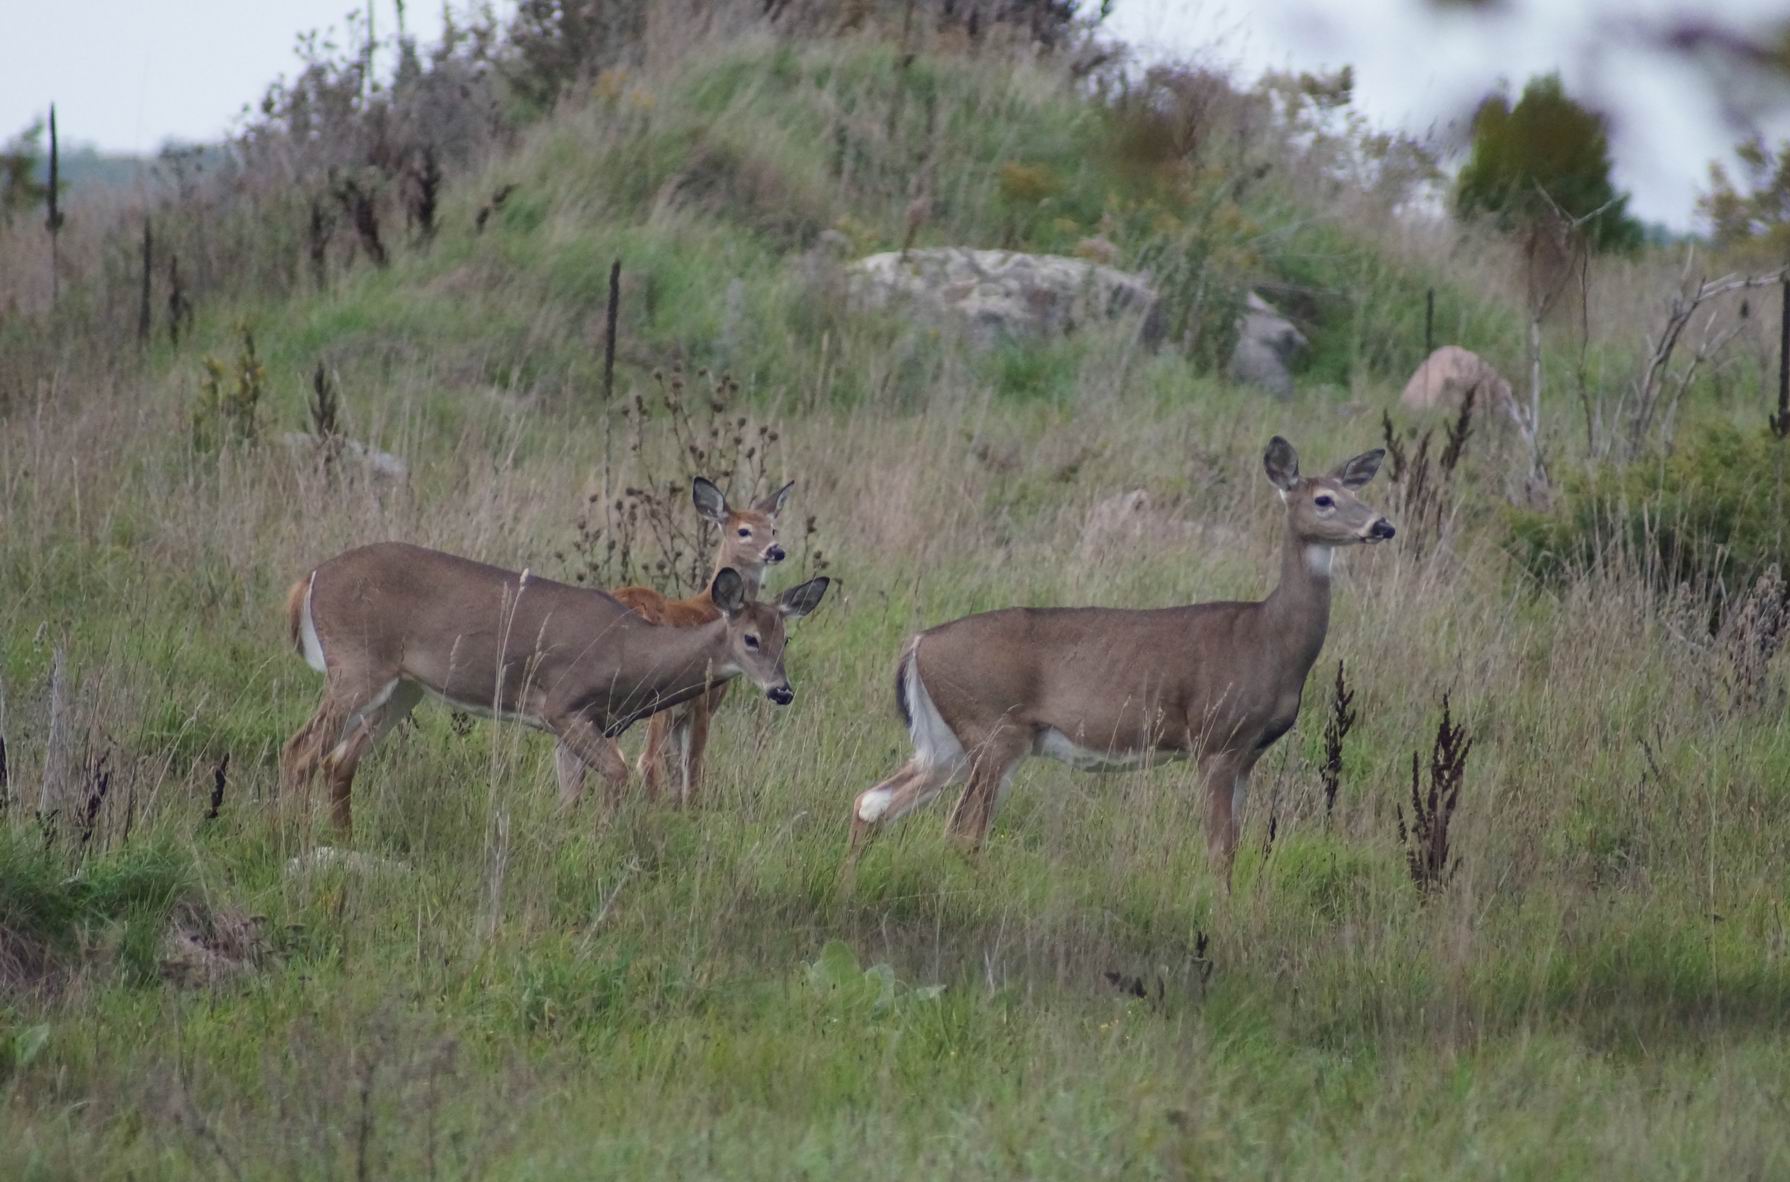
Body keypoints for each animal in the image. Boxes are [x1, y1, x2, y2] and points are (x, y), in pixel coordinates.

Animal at [281, 540, 830, 834]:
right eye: (750, 638)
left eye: (785, 638)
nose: (782, 691)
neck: (631, 654)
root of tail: (309, 578)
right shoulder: (562, 704)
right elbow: (618, 775)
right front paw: (601, 844)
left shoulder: (580, 725)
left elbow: (569, 798)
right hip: (356, 666)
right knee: (299, 749)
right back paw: (286, 836)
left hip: (401, 688)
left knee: (338, 760)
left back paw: (343, 839)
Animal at [605, 476, 794, 802]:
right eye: (743, 531)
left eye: (772, 528)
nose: (776, 551)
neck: (711, 607)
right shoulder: (703, 703)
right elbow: (692, 765)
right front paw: (689, 808)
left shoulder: (682, 714)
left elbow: (677, 769)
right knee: (646, 760)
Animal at [852, 438, 1396, 881]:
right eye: (1324, 500)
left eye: (1357, 493)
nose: (1383, 524)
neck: (1269, 638)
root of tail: (919, 643)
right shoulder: (1216, 739)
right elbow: (1220, 851)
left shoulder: (1247, 755)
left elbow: (1234, 847)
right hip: (992, 730)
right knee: (962, 831)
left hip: (946, 741)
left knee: (873, 802)